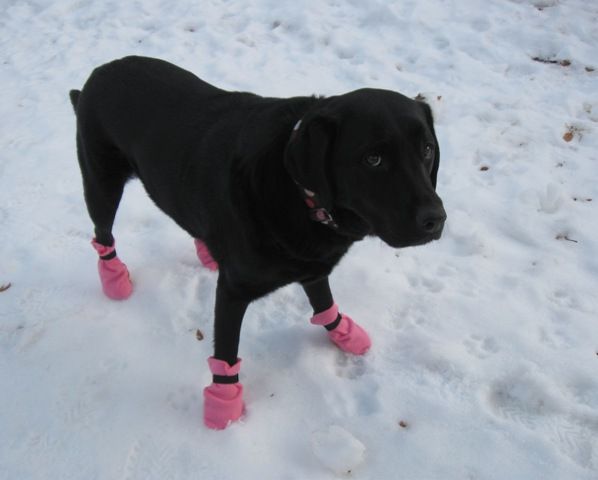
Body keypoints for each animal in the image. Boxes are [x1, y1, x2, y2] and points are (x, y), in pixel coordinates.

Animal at [70, 55, 446, 428]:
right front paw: (224, 404)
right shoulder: (233, 291)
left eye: (427, 149)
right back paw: (115, 279)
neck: (300, 192)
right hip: (101, 183)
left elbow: (324, 302)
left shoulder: (312, 264)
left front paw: (343, 331)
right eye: (373, 159)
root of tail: (100, 71)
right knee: (102, 234)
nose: (435, 219)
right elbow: (226, 353)